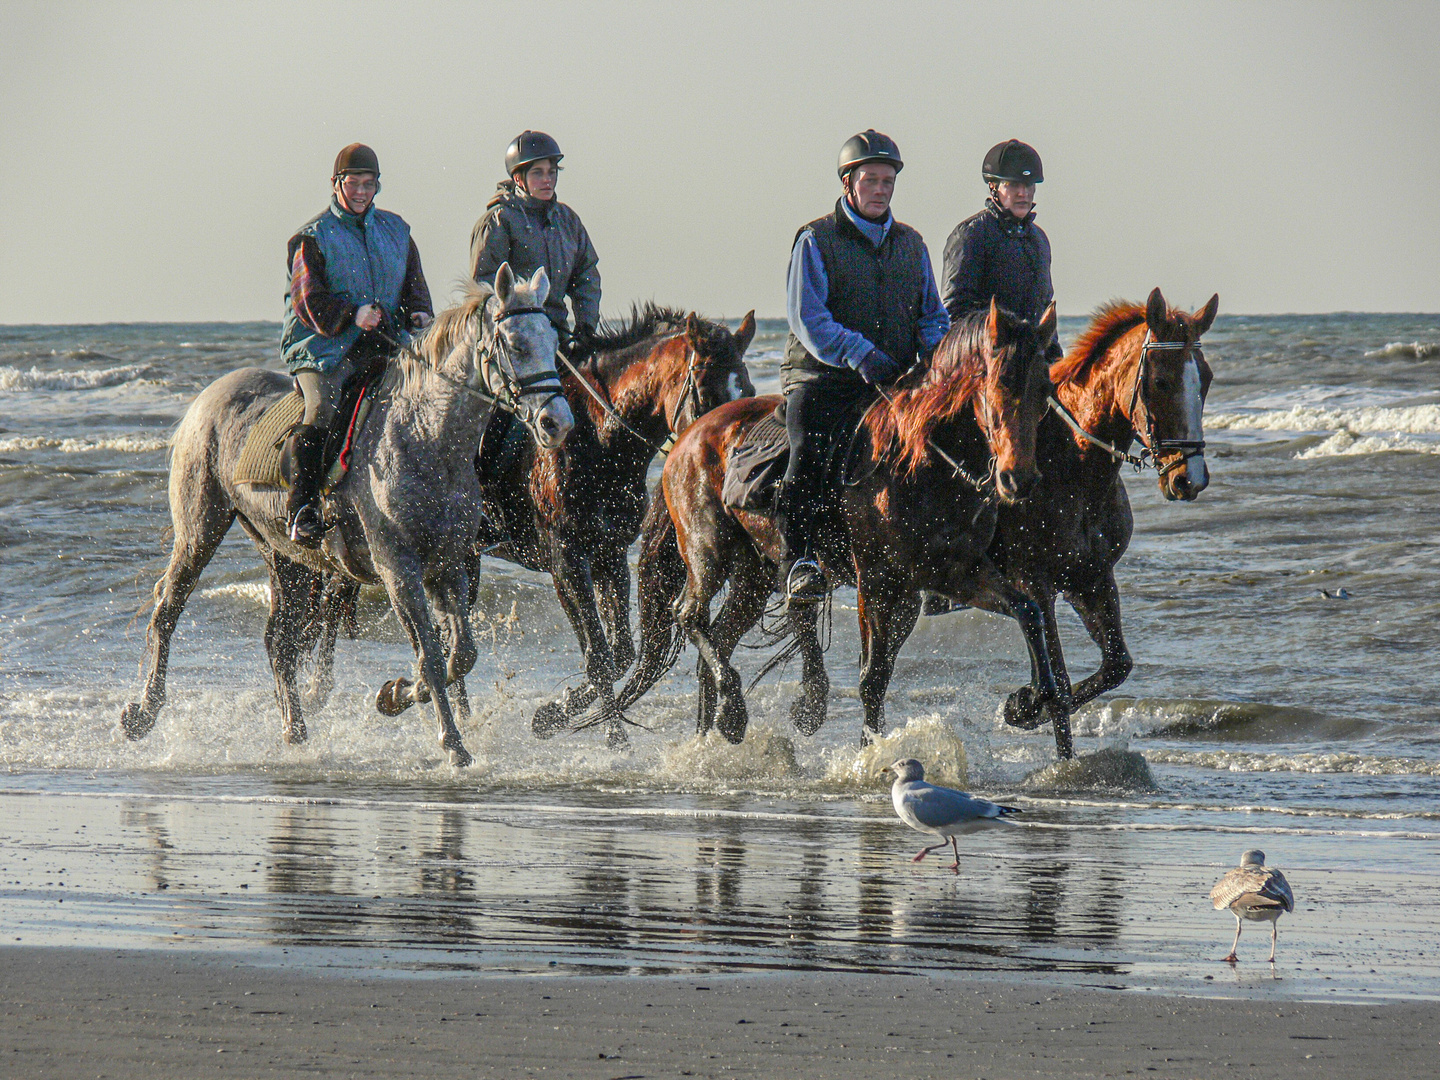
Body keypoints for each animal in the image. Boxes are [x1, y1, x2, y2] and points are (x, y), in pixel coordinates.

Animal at [122, 263, 573, 771]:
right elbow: (434, 656)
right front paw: (452, 743)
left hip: (286, 556)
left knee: (279, 642)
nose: (558, 422)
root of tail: (207, 398)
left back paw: (295, 732)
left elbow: (461, 654)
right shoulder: (399, 570)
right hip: (200, 529)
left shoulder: (450, 565)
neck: (424, 436)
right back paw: (142, 715)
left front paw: (395, 694)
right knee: (168, 607)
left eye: (554, 341)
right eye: (516, 345)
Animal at [624, 296, 1065, 754]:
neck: (923, 461)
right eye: (1001, 387)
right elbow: (873, 677)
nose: (1019, 480)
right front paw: (871, 754)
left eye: (1045, 391)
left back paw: (712, 734)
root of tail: (687, 435)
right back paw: (732, 713)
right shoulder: (876, 580)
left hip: (753, 576)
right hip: (708, 551)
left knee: (720, 639)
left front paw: (1030, 701)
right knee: (689, 615)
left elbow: (1028, 609)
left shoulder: (953, 573)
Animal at [979, 285, 1215, 737]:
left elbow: (1115, 667)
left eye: (1207, 379)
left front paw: (1022, 704)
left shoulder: (1091, 580)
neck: (1071, 467)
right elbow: (1059, 685)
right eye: (1160, 380)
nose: (1189, 479)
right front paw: (1030, 706)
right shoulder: (1035, 583)